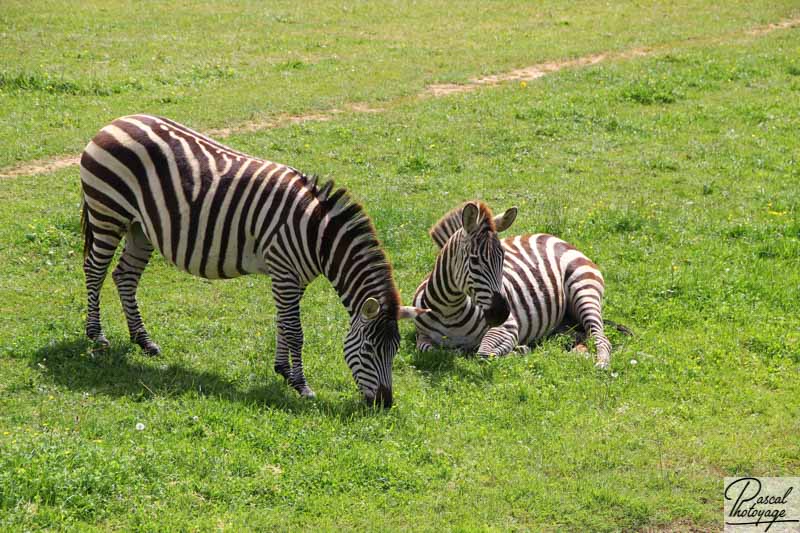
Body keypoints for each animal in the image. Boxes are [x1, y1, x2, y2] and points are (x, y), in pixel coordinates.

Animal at [82, 113, 428, 404]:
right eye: (369, 349)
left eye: (396, 349)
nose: (384, 403)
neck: (318, 236)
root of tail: (116, 121)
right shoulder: (285, 272)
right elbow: (295, 331)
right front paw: (301, 385)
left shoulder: (291, 278)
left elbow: (283, 324)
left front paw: (283, 371)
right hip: (108, 212)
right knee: (95, 271)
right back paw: (97, 335)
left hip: (140, 228)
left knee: (125, 276)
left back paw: (143, 341)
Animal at [412, 202, 612, 368]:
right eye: (474, 260)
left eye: (503, 259)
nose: (502, 312)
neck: (449, 312)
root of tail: (554, 237)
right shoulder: (422, 337)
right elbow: (431, 351)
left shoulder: (507, 328)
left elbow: (484, 354)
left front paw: (520, 350)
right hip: (565, 323)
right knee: (579, 334)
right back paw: (579, 352)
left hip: (584, 288)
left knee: (600, 336)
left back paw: (601, 362)